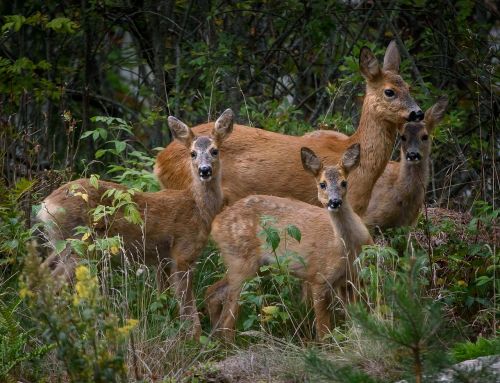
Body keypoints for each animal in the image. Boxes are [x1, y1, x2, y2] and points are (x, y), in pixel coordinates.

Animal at [37, 108, 236, 340]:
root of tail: (46, 205)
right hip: (79, 244)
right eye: (192, 153)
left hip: (61, 243)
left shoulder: (162, 259)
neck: (198, 208)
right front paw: (195, 338)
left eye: (215, 151)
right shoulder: (183, 253)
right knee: (51, 284)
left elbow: (163, 299)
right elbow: (186, 303)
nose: (205, 170)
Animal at [205, 145, 374, 342]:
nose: (334, 202)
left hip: (251, 266)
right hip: (241, 263)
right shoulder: (319, 277)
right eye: (322, 184)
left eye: (344, 183)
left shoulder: (353, 279)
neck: (345, 247)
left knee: (213, 293)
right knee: (228, 317)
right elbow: (324, 331)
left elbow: (358, 320)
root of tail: (215, 224)